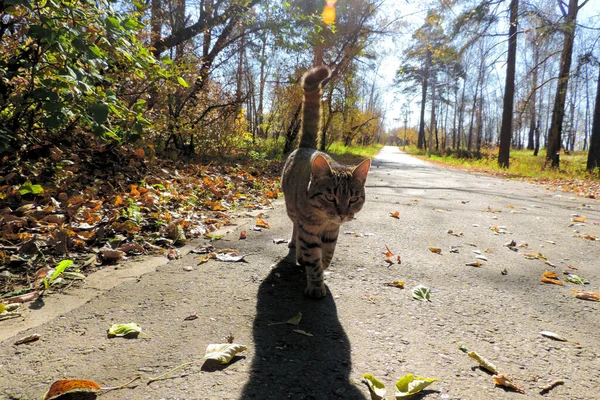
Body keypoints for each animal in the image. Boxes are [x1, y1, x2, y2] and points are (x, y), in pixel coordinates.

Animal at [282, 65, 370, 296]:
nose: (342, 214)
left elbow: (327, 254)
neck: (324, 221)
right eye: (330, 197)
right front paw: (315, 284)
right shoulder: (309, 230)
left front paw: (324, 265)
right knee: (295, 228)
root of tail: (307, 146)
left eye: (353, 199)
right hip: (292, 209)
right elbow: (313, 259)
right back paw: (295, 248)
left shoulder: (332, 232)